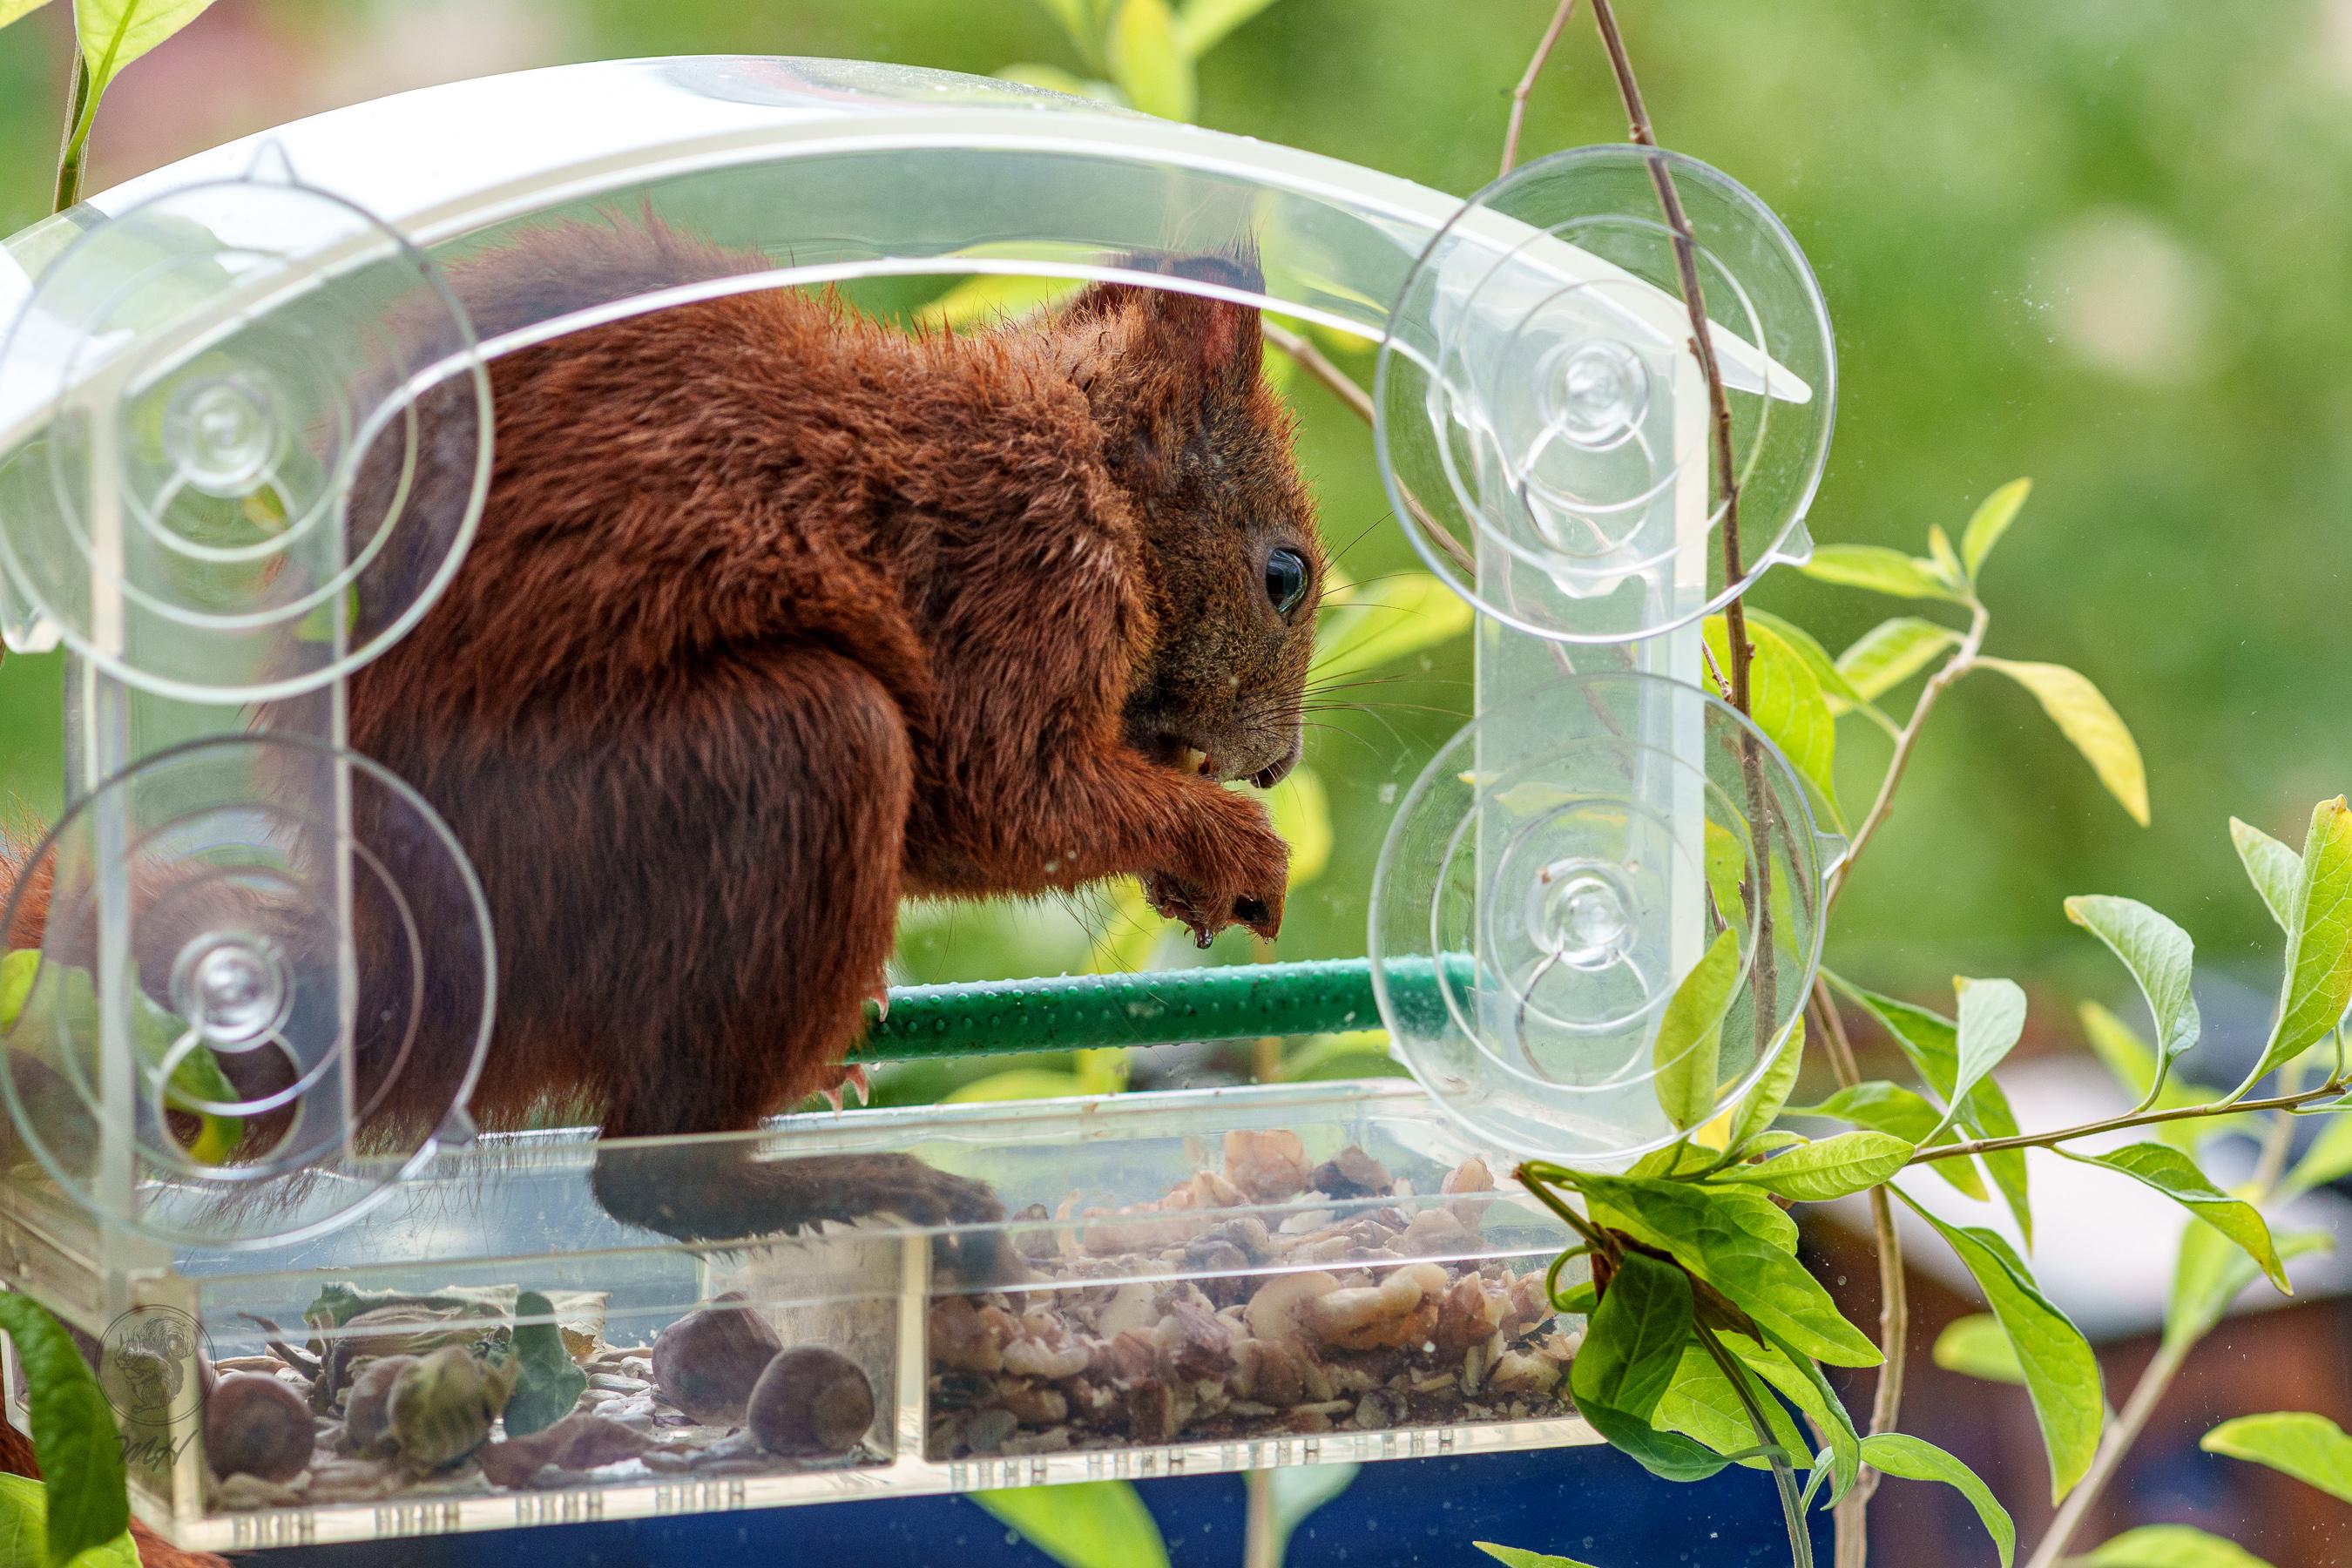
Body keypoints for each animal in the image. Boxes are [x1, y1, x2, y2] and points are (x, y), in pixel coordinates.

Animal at [0, 220, 1324, 1251]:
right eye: (1286, 575)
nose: (1274, 767)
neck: (1088, 449)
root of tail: (418, 983)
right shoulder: (1028, 568)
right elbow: (1006, 797)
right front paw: (1230, 845)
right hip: (760, 761)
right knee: (645, 1174)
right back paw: (851, 1183)